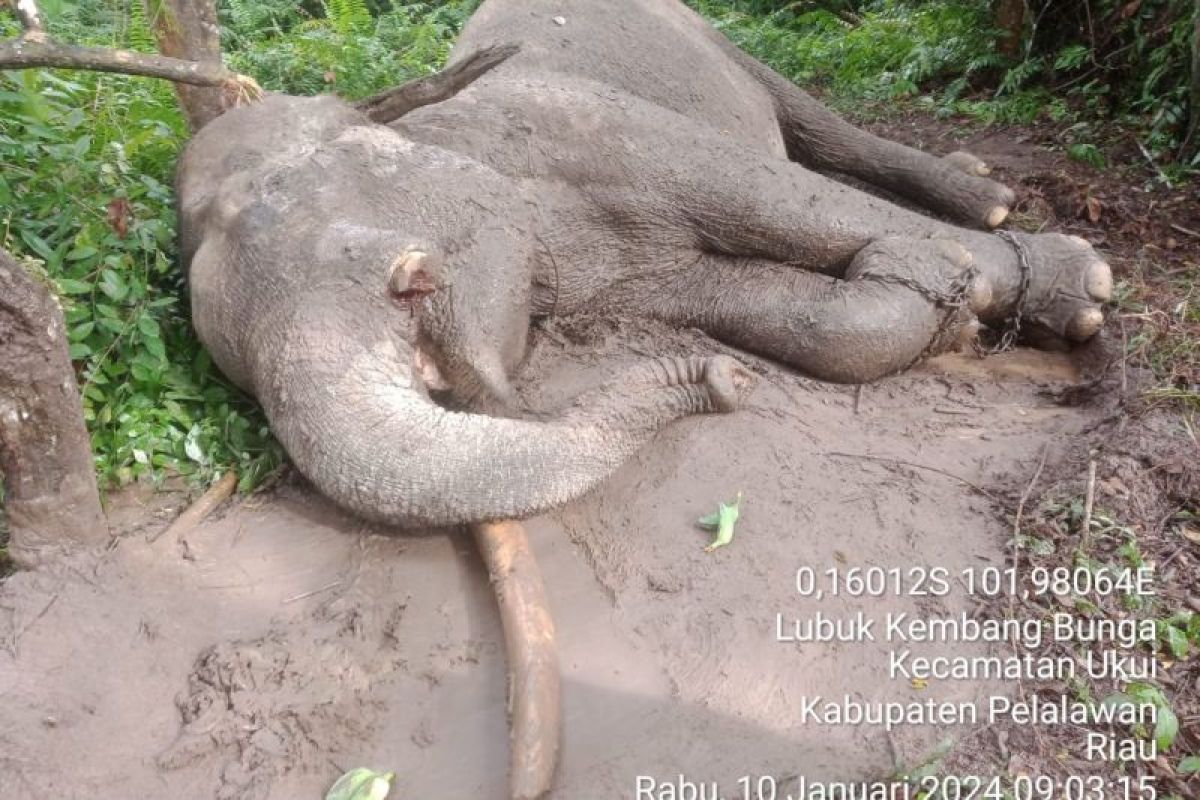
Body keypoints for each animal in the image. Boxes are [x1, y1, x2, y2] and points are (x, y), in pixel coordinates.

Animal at [174, 0, 1108, 527]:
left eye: (407, 280)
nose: (721, 380)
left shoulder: (599, 125)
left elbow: (779, 197)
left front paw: (1040, 279)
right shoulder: (627, 276)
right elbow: (779, 314)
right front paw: (926, 284)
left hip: (701, 29)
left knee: (813, 125)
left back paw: (985, 202)